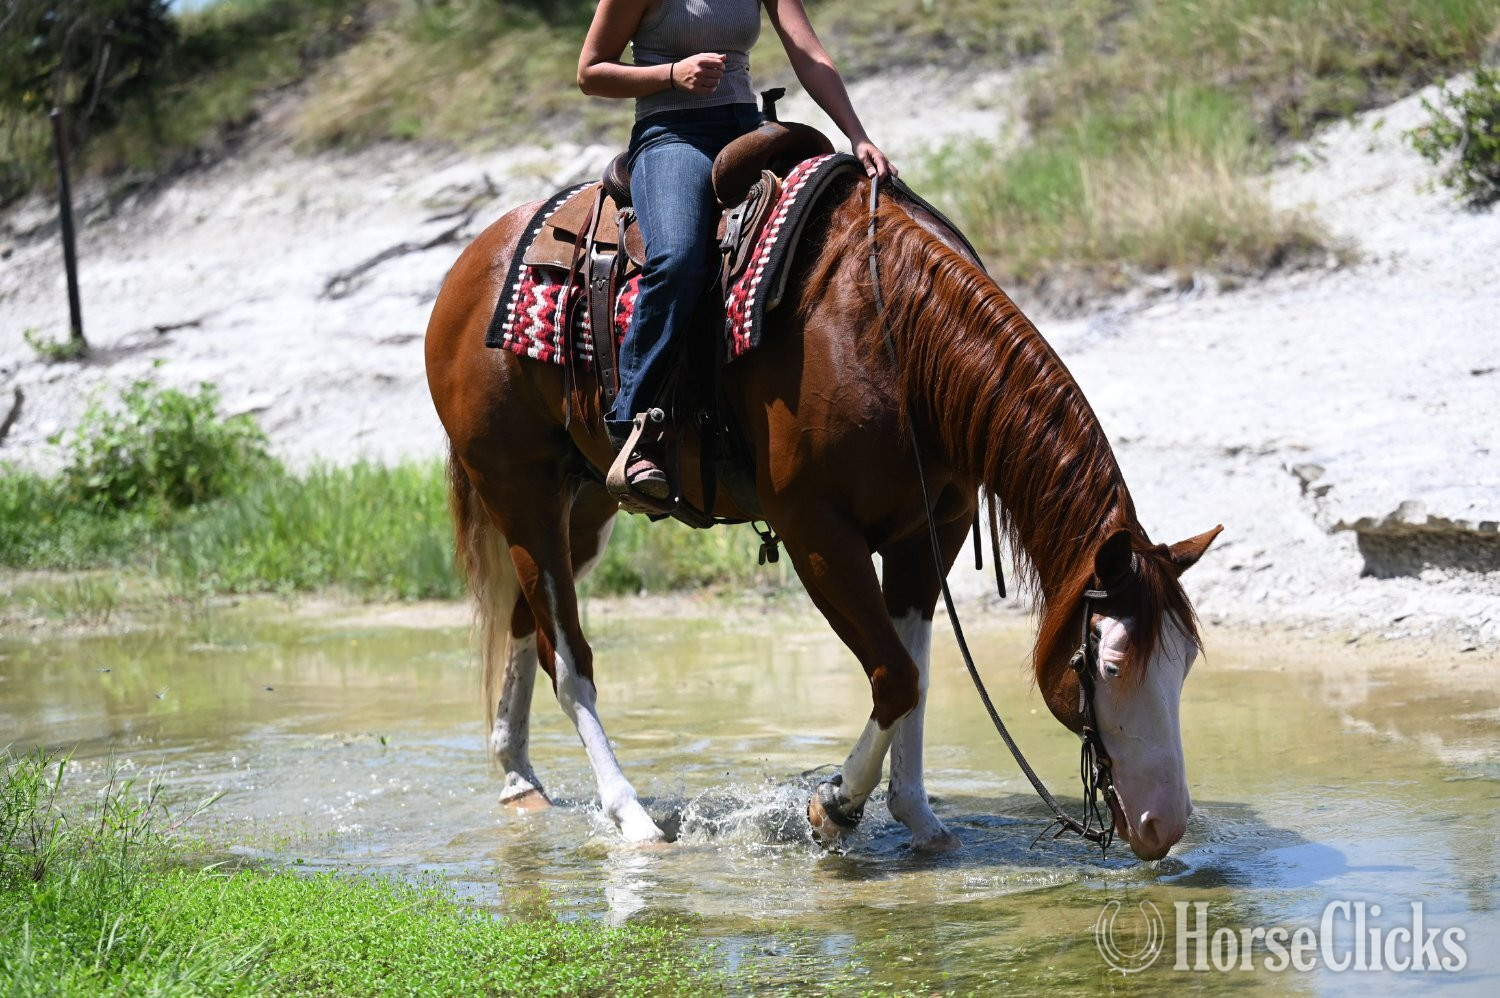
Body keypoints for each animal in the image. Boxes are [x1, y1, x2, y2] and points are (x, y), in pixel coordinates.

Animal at [424, 174, 1222, 860]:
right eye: (1108, 665)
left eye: (1184, 665)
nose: (1163, 824)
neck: (894, 340)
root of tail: (474, 261)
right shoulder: (817, 534)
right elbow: (895, 676)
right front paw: (834, 807)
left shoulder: (927, 534)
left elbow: (915, 679)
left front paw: (917, 817)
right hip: (520, 491)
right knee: (568, 658)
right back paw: (633, 817)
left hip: (584, 505)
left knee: (526, 624)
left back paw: (519, 779)